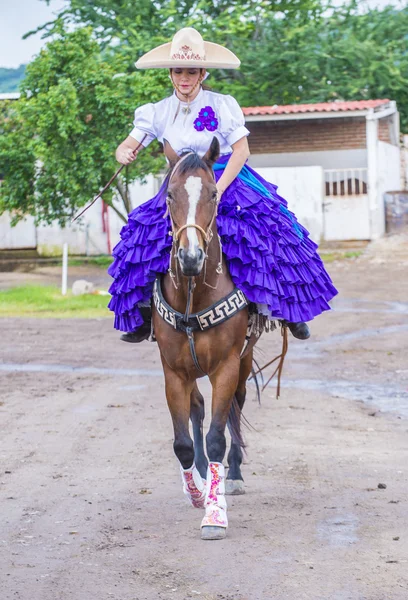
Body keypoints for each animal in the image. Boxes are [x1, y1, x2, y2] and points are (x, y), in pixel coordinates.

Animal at [151, 138, 262, 540]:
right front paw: (197, 492)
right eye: (169, 195)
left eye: (214, 194)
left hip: (243, 363)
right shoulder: (173, 371)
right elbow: (182, 442)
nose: (190, 256)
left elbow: (217, 436)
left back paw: (235, 474)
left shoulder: (226, 367)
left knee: (235, 409)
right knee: (198, 407)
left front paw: (215, 513)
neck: (194, 294)